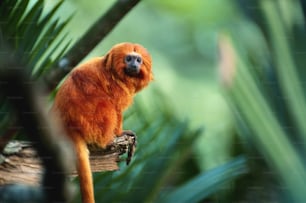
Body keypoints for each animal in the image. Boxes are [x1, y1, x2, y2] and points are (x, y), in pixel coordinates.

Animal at [52, 42, 153, 203]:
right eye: (129, 58)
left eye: (138, 60)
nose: (134, 65)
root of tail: (69, 124)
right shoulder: (116, 88)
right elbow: (116, 108)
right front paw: (120, 133)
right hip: (89, 121)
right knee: (106, 104)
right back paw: (107, 140)